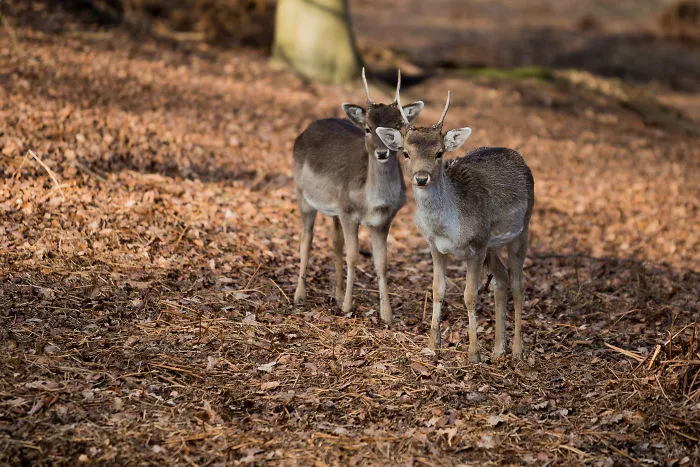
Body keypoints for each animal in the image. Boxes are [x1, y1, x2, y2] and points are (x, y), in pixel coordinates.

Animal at [292, 69, 424, 323]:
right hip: (302, 193)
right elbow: (353, 256)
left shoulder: (383, 220)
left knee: (335, 242)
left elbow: (381, 263)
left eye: (398, 129)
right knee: (306, 238)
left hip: (333, 207)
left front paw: (387, 314)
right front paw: (347, 306)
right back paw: (299, 295)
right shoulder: (347, 211)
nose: (382, 153)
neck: (370, 201)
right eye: (368, 128)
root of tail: (305, 130)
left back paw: (336, 293)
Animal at [375, 89, 534, 362]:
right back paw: (498, 349)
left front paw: (473, 353)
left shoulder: (476, 245)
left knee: (518, 285)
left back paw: (516, 350)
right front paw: (432, 345)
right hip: (493, 243)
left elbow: (470, 296)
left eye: (439, 153)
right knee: (501, 278)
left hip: (522, 229)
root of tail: (519, 157)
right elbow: (437, 290)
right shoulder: (435, 246)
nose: (421, 178)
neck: (448, 228)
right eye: (406, 152)